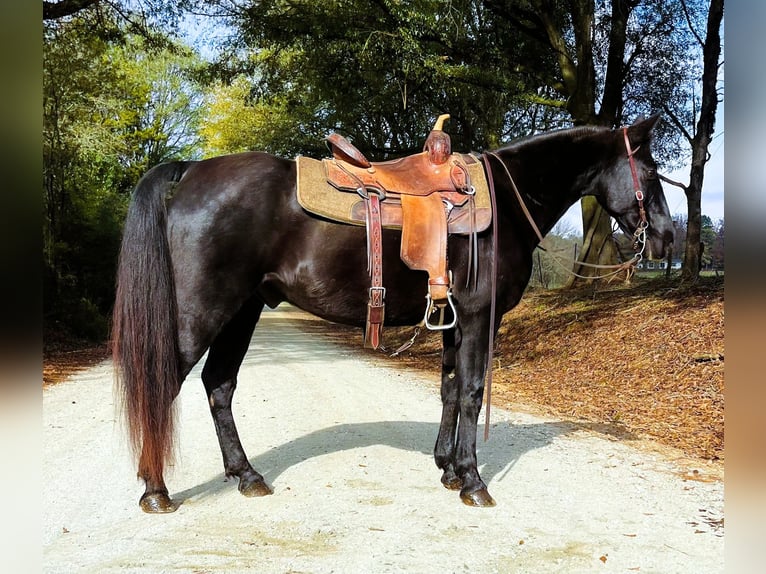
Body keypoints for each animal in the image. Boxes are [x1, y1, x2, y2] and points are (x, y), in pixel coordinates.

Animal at [112, 115, 672, 516]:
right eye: (649, 172)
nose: (667, 238)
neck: (507, 202)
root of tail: (193, 168)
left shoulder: (453, 321)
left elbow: (450, 389)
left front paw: (448, 468)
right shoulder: (478, 318)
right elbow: (472, 392)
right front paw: (473, 481)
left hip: (242, 312)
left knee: (219, 386)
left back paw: (247, 476)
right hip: (203, 313)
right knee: (165, 384)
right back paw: (156, 491)